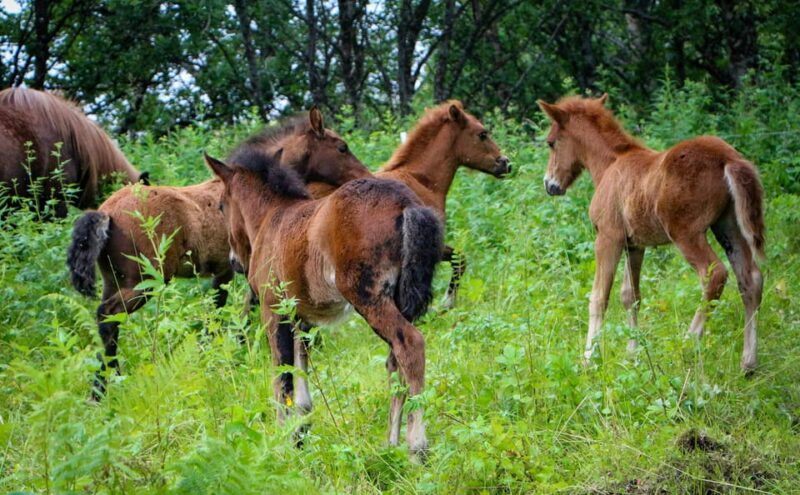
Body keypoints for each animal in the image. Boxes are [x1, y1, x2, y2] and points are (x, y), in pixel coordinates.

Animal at [66, 107, 371, 398]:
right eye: (342, 147)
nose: (365, 176)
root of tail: (105, 213)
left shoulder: (228, 272)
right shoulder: (241, 270)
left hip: (115, 281)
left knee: (108, 322)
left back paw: (104, 384)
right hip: (143, 283)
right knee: (107, 316)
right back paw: (104, 386)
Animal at [205, 148, 444, 457]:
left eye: (222, 206)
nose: (235, 261)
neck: (272, 218)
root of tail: (406, 204)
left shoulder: (273, 312)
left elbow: (282, 377)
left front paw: (282, 441)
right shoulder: (303, 318)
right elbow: (300, 374)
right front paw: (300, 434)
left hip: (367, 296)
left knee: (410, 345)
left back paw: (416, 448)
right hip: (400, 299)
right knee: (395, 360)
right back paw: (390, 445)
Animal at [538, 94, 765, 372]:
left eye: (551, 142)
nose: (550, 184)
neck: (611, 164)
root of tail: (728, 158)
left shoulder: (608, 237)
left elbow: (599, 296)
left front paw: (589, 358)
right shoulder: (635, 245)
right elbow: (630, 296)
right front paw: (633, 354)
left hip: (686, 233)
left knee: (715, 275)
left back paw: (688, 342)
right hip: (728, 226)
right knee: (750, 280)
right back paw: (748, 363)